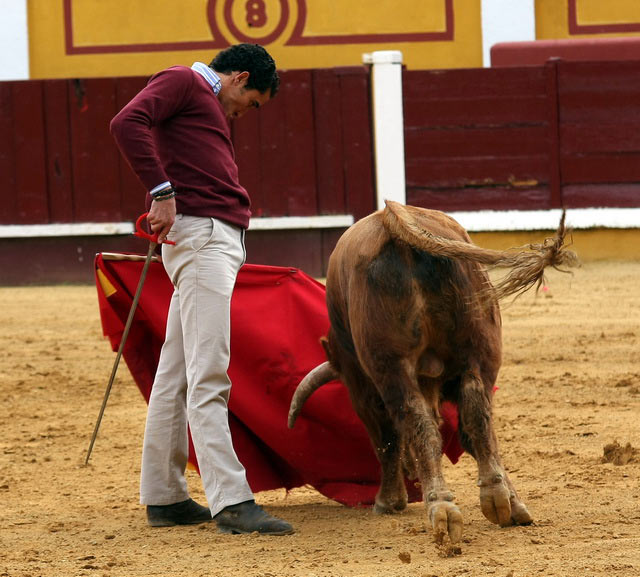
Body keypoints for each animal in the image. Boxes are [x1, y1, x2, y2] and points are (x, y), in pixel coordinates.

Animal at [288, 202, 576, 544]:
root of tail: (393, 217)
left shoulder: (362, 386)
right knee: (476, 417)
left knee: (415, 423)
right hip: (481, 346)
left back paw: (441, 509)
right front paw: (513, 503)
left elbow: (386, 439)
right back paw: (495, 498)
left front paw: (389, 501)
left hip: (390, 365)